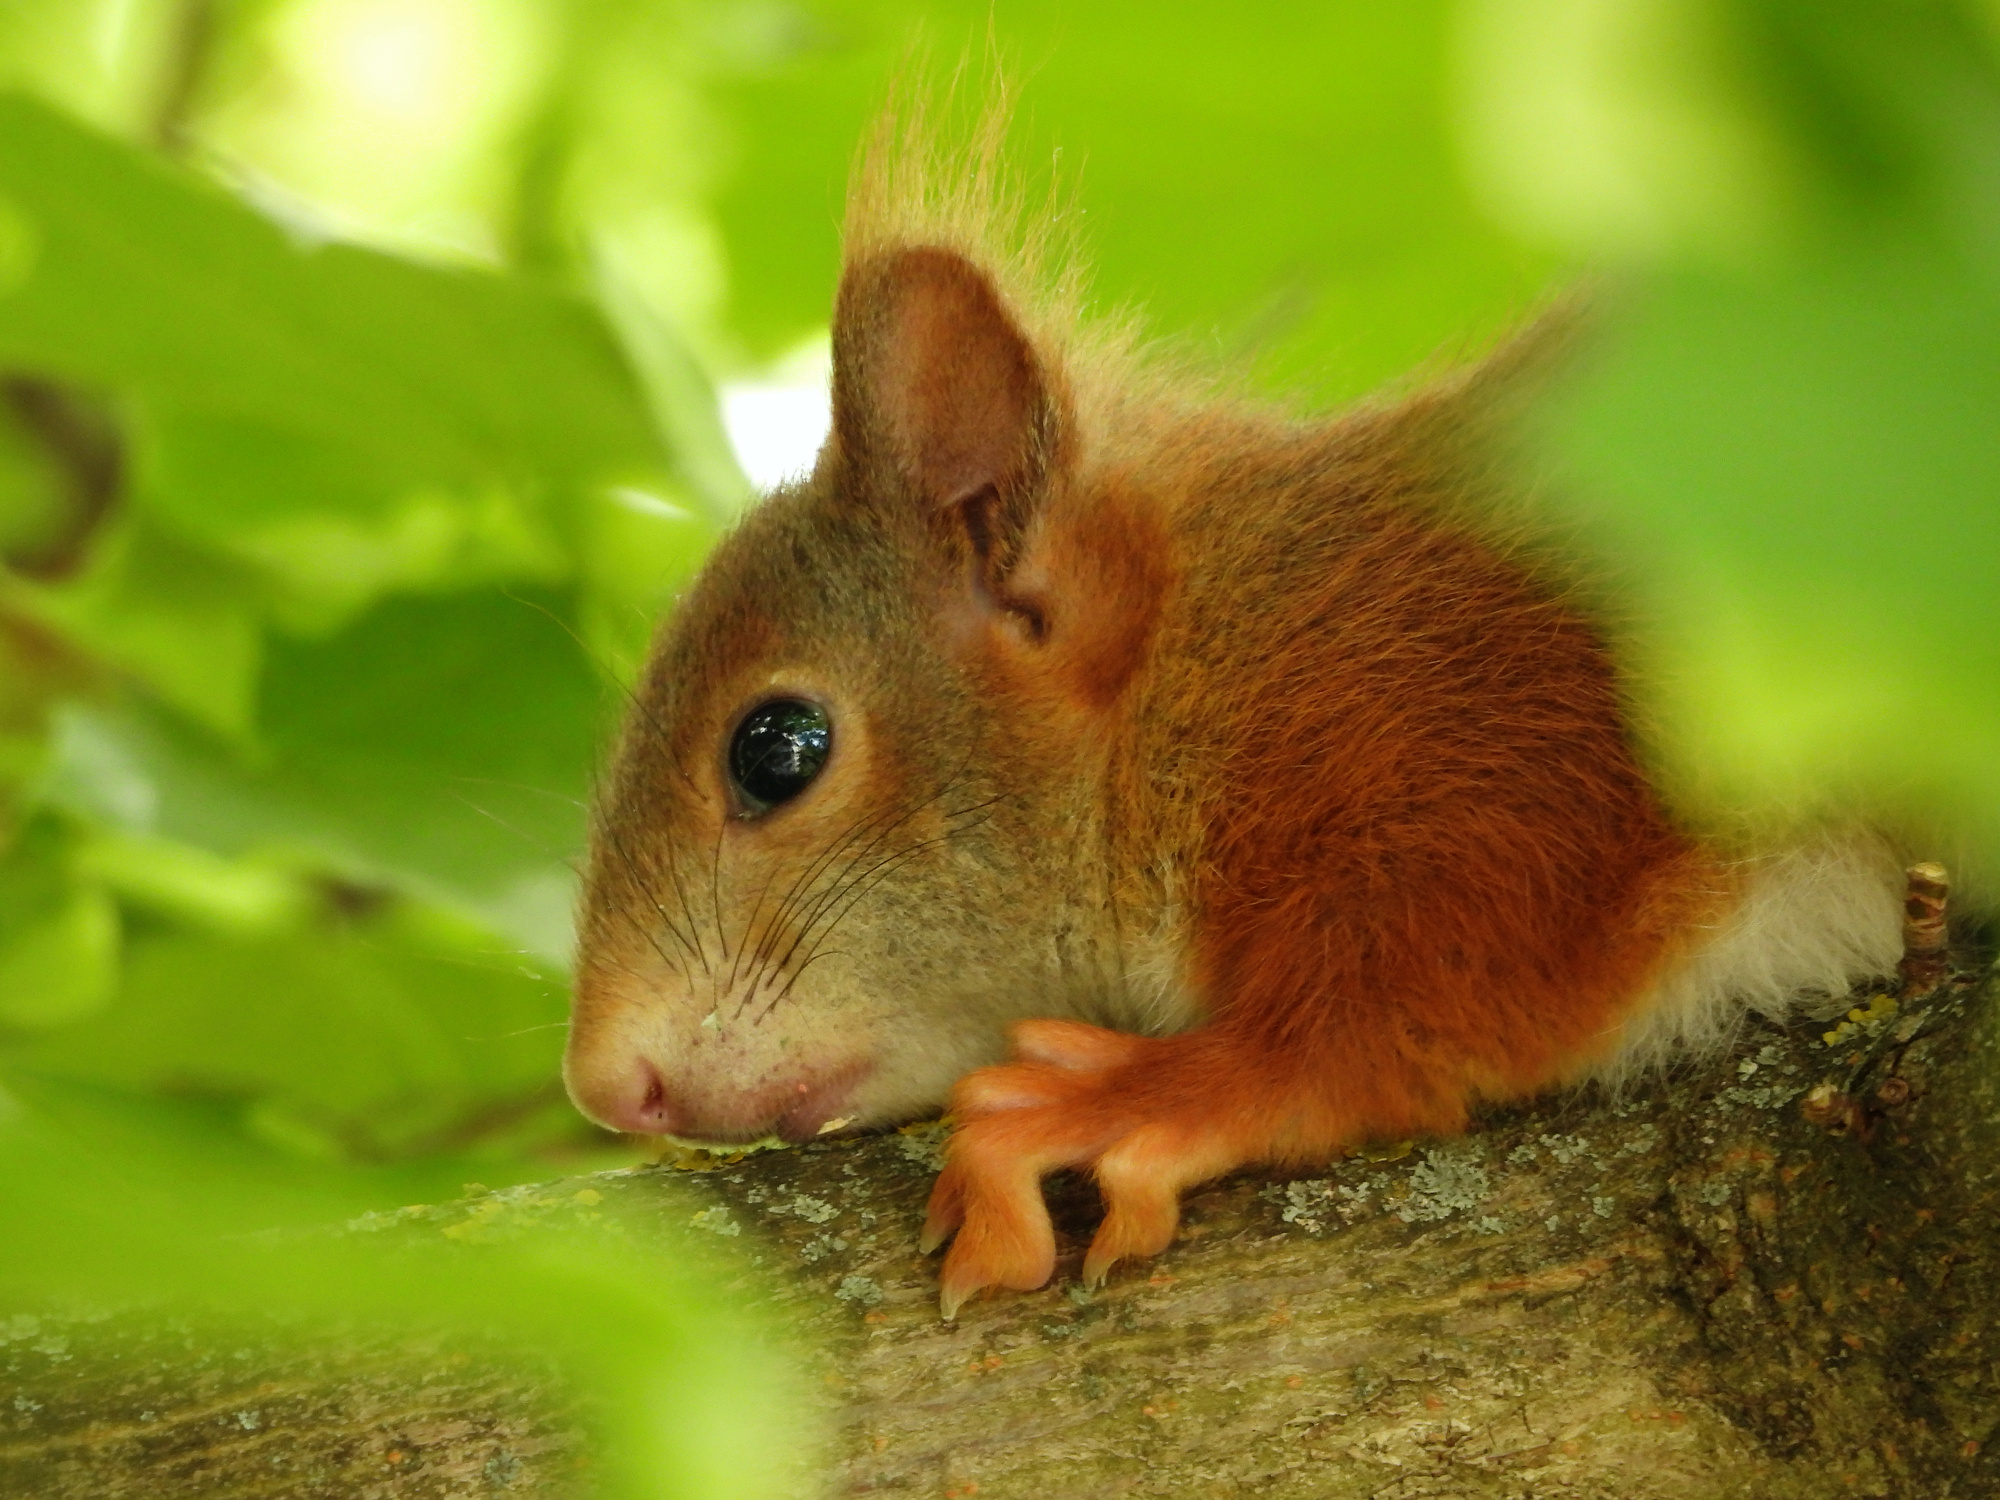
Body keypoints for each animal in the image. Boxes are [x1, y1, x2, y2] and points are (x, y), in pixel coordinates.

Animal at [562, 112, 1908, 1318]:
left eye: (777, 750)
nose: (605, 1090)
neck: (1215, 668)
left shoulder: (1500, 713)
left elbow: (1437, 975)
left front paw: (1157, 1093)